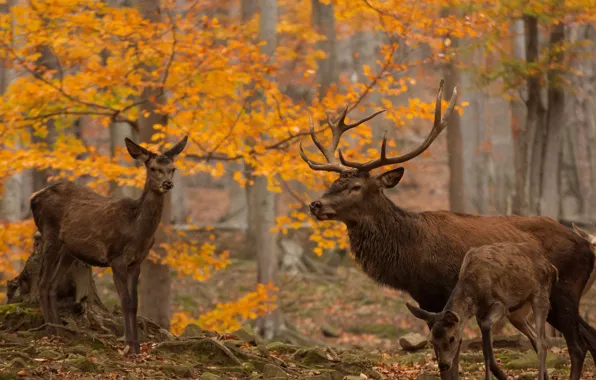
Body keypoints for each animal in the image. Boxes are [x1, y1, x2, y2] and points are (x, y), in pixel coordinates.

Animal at [30, 136, 187, 354]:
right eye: (153, 168)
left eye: (173, 168)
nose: (167, 183)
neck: (137, 230)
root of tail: (33, 198)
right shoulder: (116, 257)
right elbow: (125, 301)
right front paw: (129, 346)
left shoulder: (137, 262)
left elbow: (135, 303)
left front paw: (136, 346)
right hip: (49, 235)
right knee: (42, 283)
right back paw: (51, 331)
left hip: (68, 250)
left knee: (52, 285)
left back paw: (60, 330)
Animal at [408, 243, 556, 380]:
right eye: (432, 341)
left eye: (451, 338)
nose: (443, 365)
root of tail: (551, 267)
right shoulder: (480, 314)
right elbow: (485, 349)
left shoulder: (501, 304)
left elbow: (487, 330)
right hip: (517, 312)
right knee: (535, 338)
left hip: (541, 295)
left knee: (542, 342)